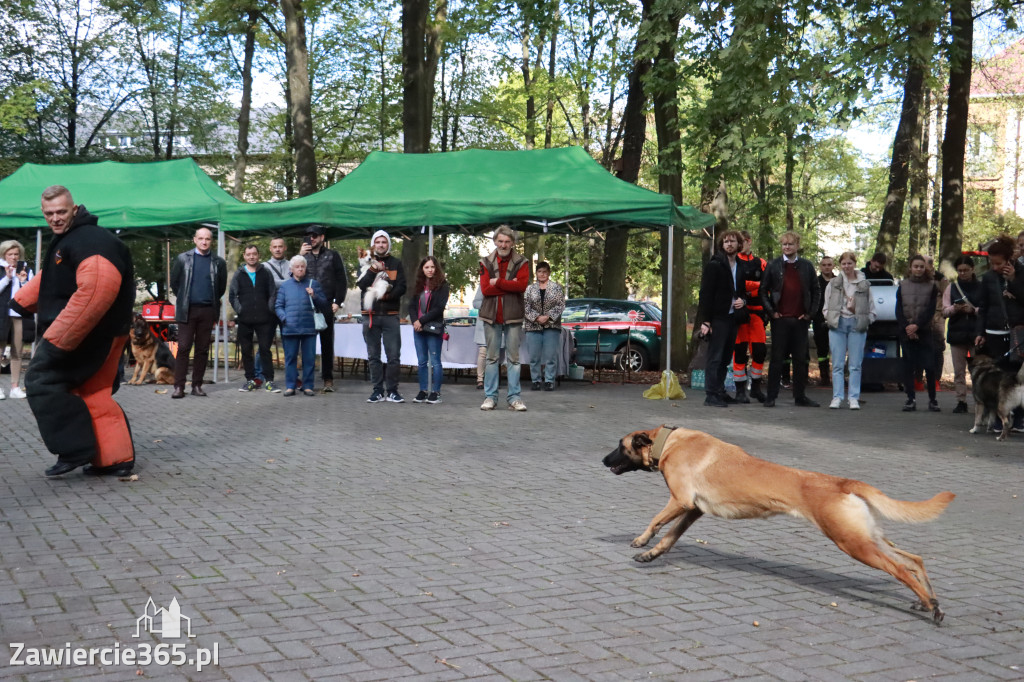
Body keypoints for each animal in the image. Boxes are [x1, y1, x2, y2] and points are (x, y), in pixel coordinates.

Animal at [602, 425, 954, 622]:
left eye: (619, 446)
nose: (603, 460)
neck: (671, 441)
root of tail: (842, 483)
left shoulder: (681, 502)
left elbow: (656, 522)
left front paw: (641, 541)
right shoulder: (693, 510)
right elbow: (670, 537)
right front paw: (651, 554)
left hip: (853, 543)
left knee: (900, 569)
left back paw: (930, 605)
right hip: (866, 537)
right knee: (913, 560)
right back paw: (929, 600)